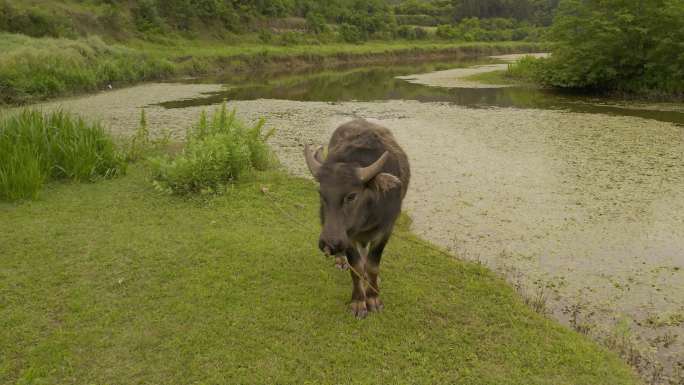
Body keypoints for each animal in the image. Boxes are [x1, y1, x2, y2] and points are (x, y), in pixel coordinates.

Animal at [302, 118, 408, 316]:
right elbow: (356, 266)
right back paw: (340, 260)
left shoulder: (386, 229)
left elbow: (372, 264)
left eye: (351, 196)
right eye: (321, 193)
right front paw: (359, 302)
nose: (329, 244)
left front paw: (373, 297)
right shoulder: (347, 236)